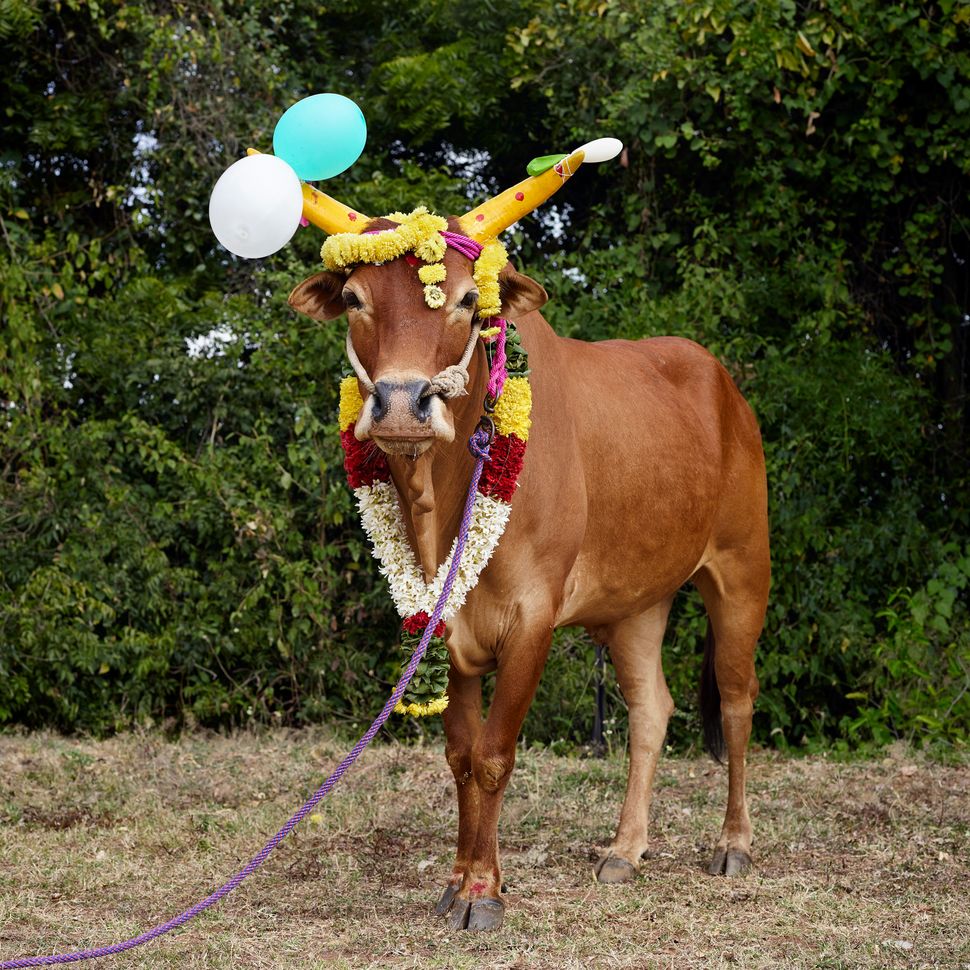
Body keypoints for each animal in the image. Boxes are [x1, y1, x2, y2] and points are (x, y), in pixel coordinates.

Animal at [284, 172, 768, 932]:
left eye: (466, 300)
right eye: (356, 299)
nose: (401, 405)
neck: (441, 504)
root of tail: (725, 389)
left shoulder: (533, 618)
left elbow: (493, 754)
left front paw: (483, 891)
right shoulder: (447, 628)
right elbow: (459, 755)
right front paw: (459, 878)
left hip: (742, 570)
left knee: (739, 701)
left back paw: (734, 843)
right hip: (638, 602)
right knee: (650, 710)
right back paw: (625, 850)